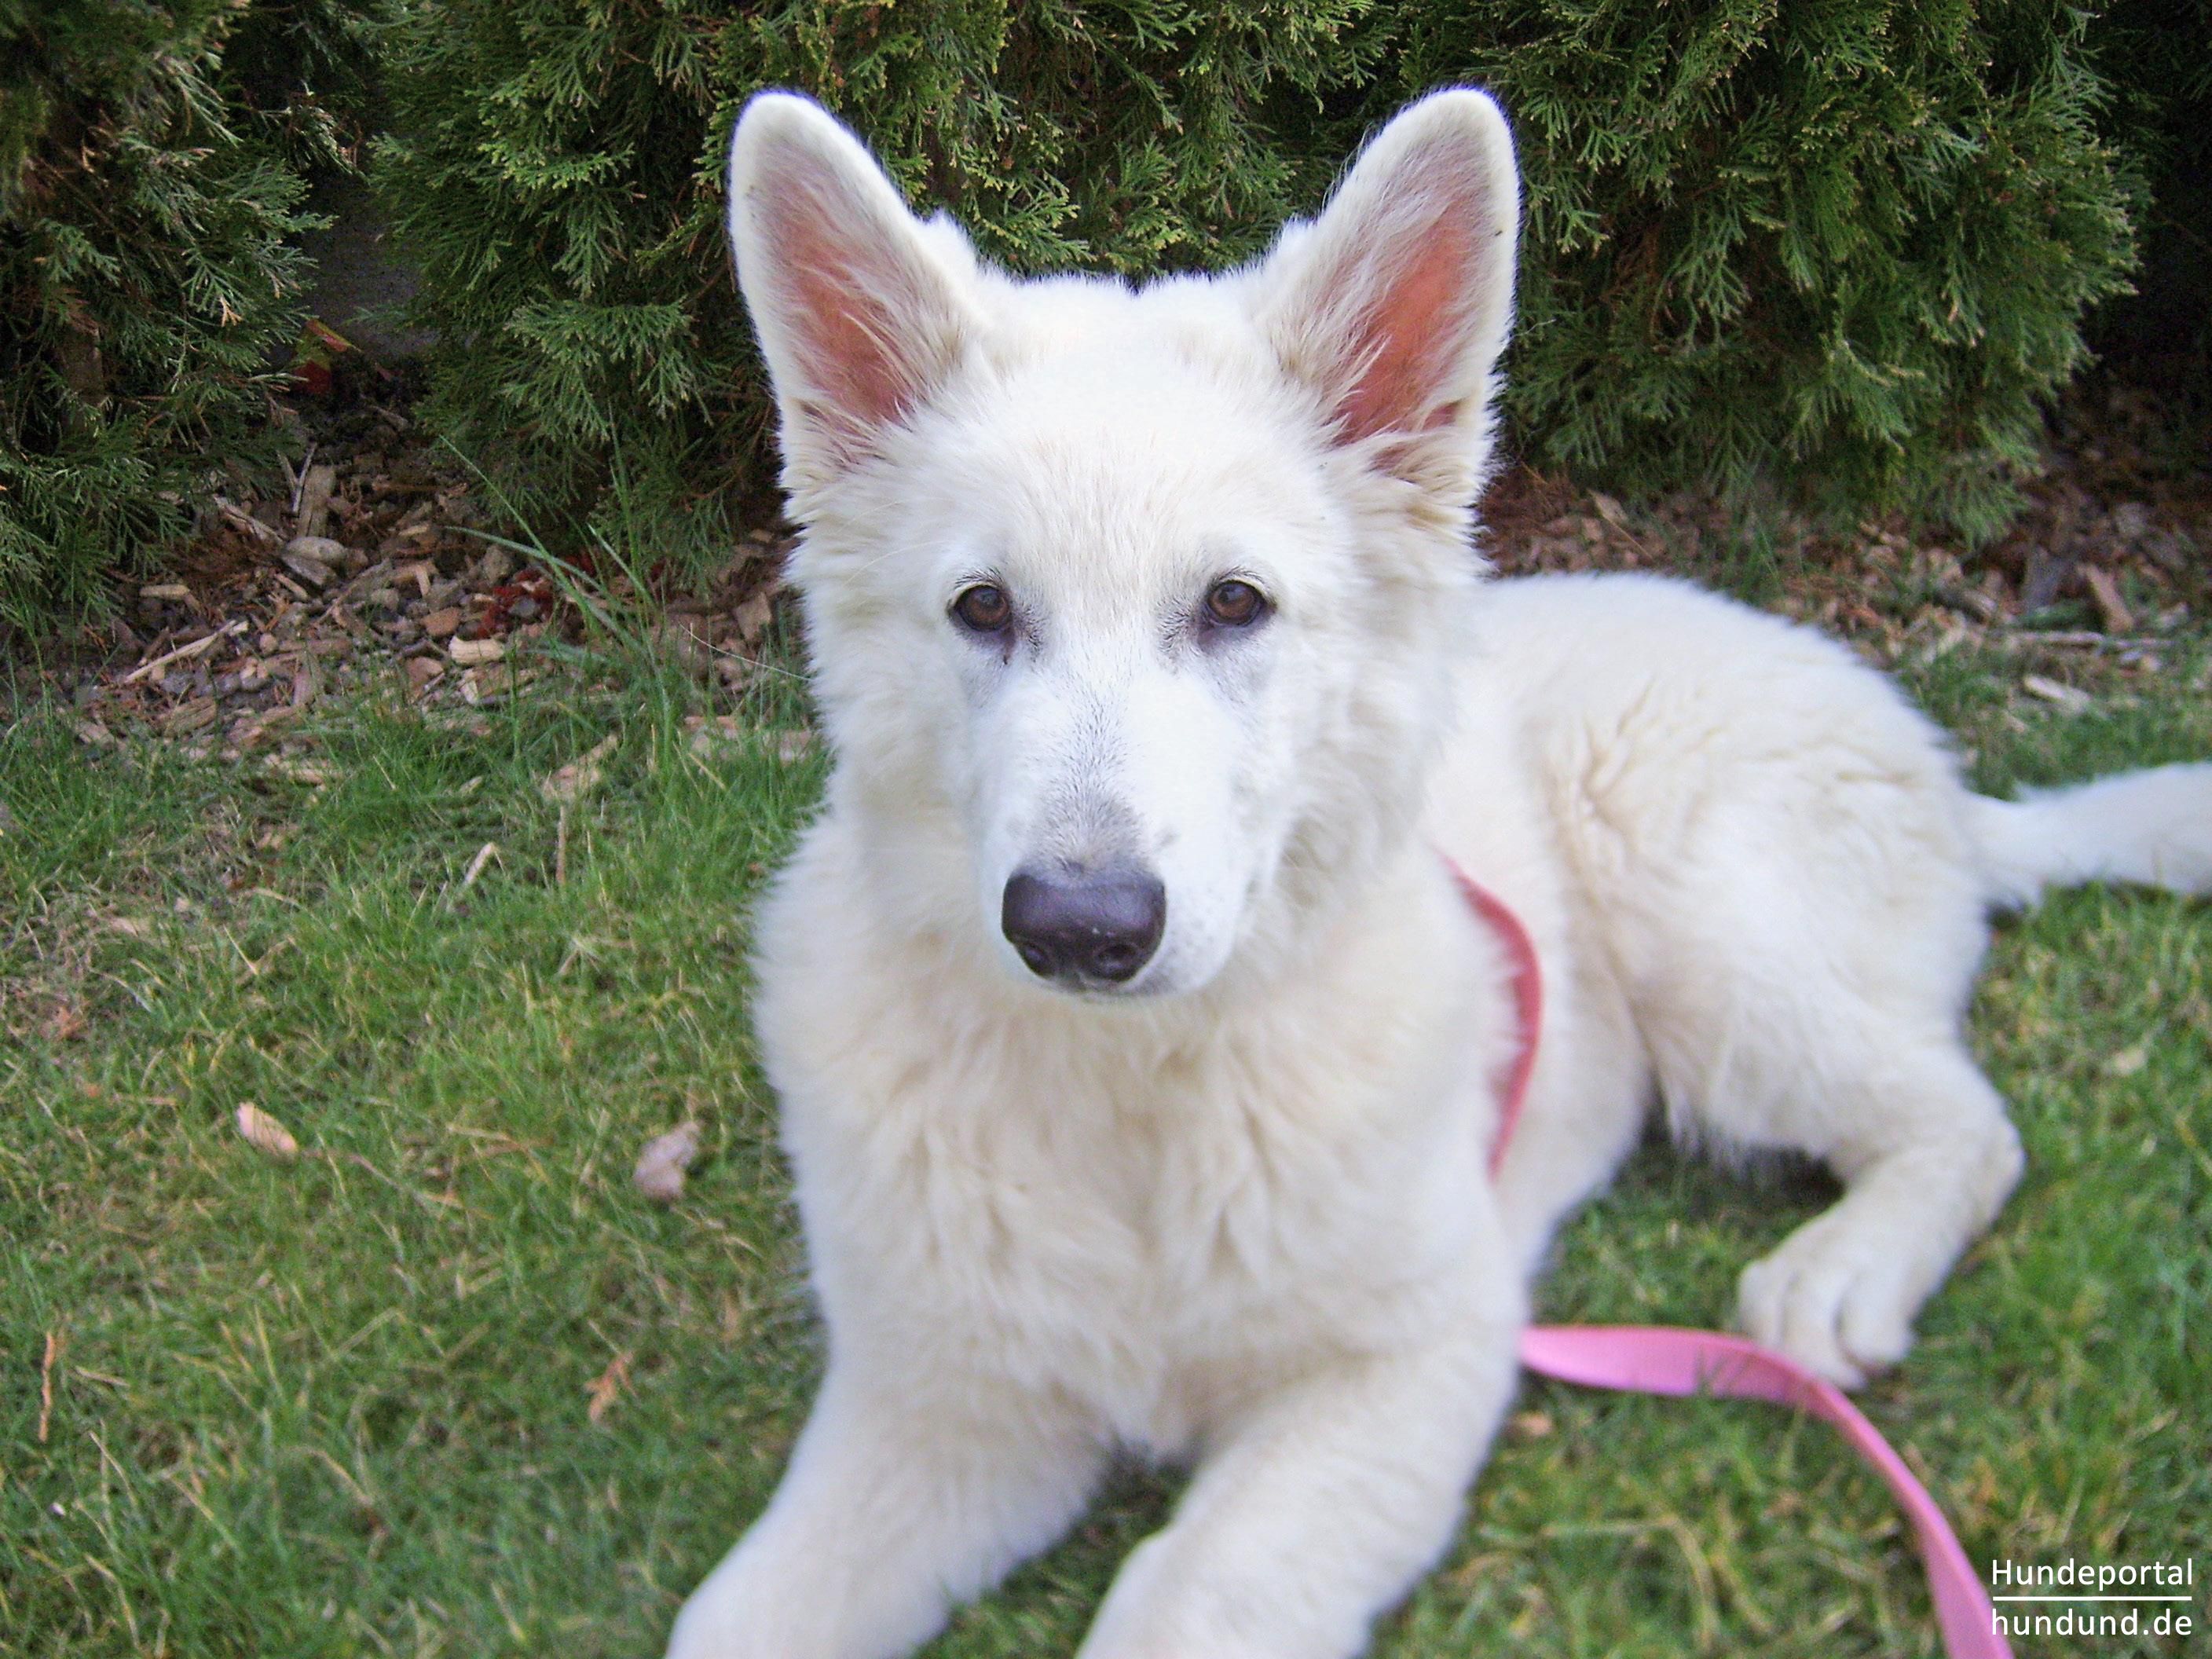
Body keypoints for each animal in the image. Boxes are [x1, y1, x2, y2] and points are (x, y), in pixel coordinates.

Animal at [668, 87, 2212, 1659]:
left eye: (1234, 605)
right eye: (983, 610)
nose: (1080, 929)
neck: (1138, 1101)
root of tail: (1943, 778)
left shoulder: (1407, 1363)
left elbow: (1183, 1597)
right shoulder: (942, 1412)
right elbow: (734, 1618)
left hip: (1704, 940)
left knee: (1966, 1118)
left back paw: (1843, 1271)